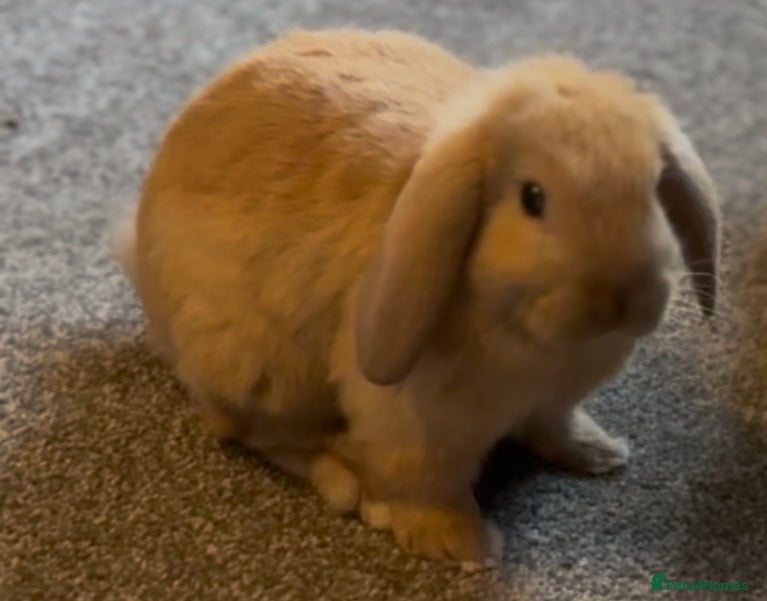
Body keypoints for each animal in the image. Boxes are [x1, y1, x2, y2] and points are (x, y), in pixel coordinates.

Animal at [119, 28, 719, 568]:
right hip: (257, 367)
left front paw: (599, 453)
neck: (535, 343)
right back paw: (347, 481)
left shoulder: (553, 399)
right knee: (253, 433)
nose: (619, 299)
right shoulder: (418, 422)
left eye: (652, 191)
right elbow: (427, 482)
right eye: (533, 198)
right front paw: (461, 547)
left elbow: (552, 425)